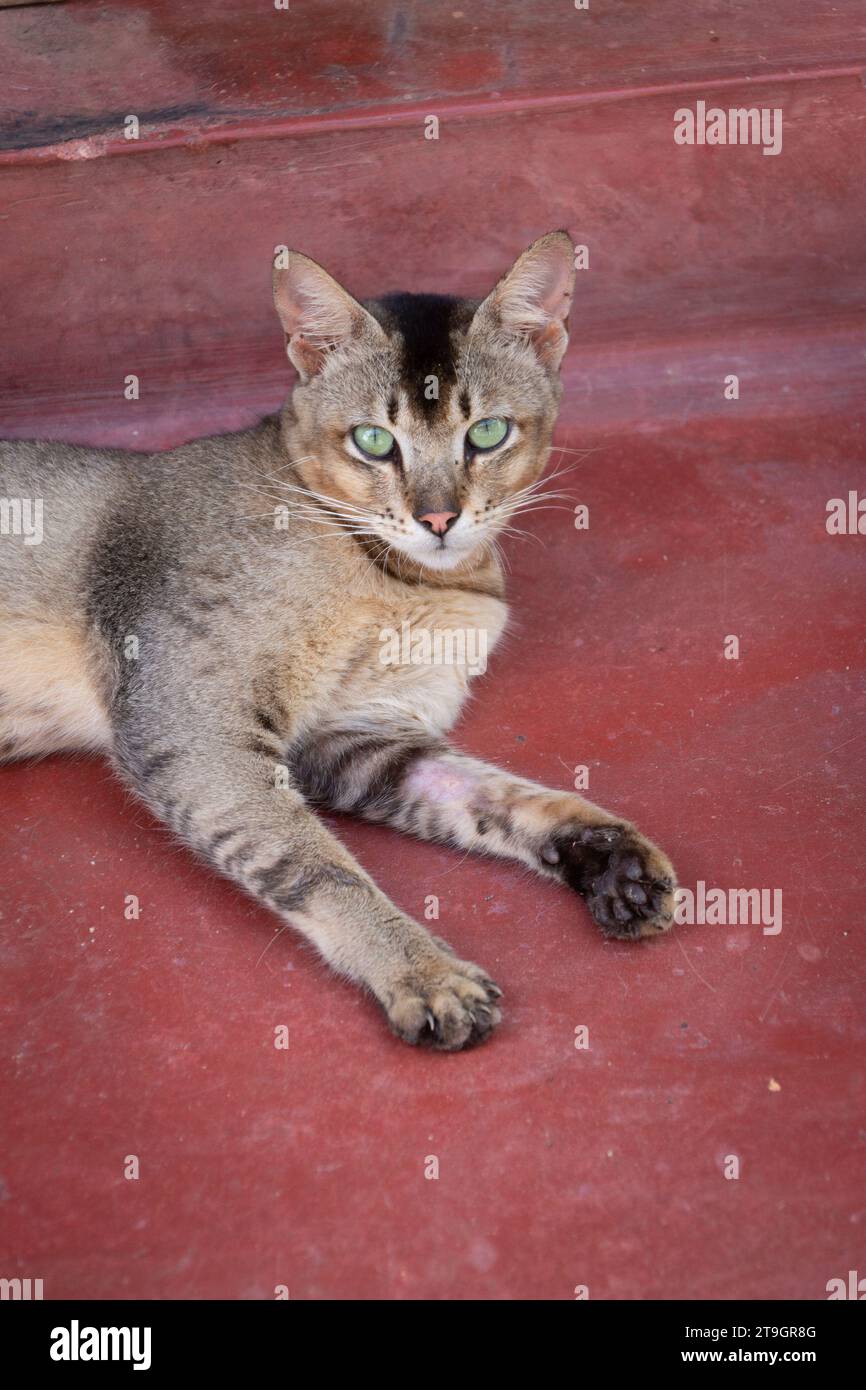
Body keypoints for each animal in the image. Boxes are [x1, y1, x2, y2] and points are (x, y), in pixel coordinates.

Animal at [0, 233, 678, 1045]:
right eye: (373, 441)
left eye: (486, 433)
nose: (439, 519)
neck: (410, 586)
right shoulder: (190, 727)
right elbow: (319, 866)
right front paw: (421, 970)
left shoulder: (353, 734)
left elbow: (490, 792)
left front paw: (608, 857)